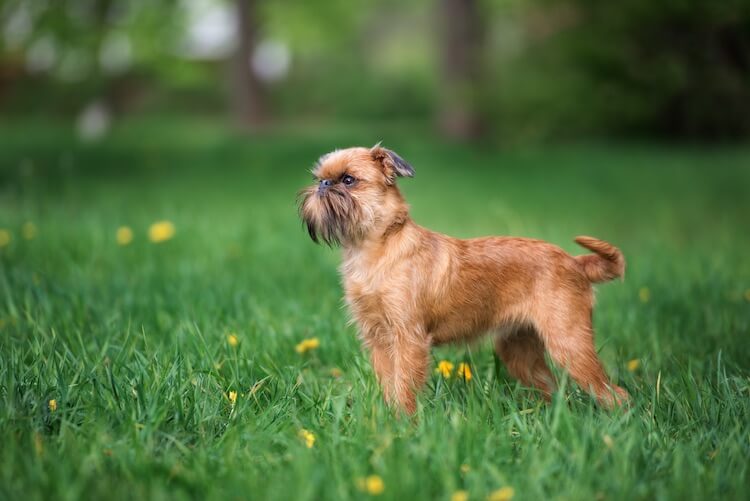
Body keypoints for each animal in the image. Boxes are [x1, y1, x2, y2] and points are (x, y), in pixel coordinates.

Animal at [298, 146, 628, 414]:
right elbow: (390, 384)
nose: (323, 184)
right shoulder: (378, 339)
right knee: (550, 387)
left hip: (568, 342)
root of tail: (574, 262)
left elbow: (404, 385)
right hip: (519, 349)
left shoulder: (408, 338)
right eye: (320, 177)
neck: (377, 247)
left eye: (348, 180)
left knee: (615, 393)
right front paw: (389, 423)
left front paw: (405, 427)